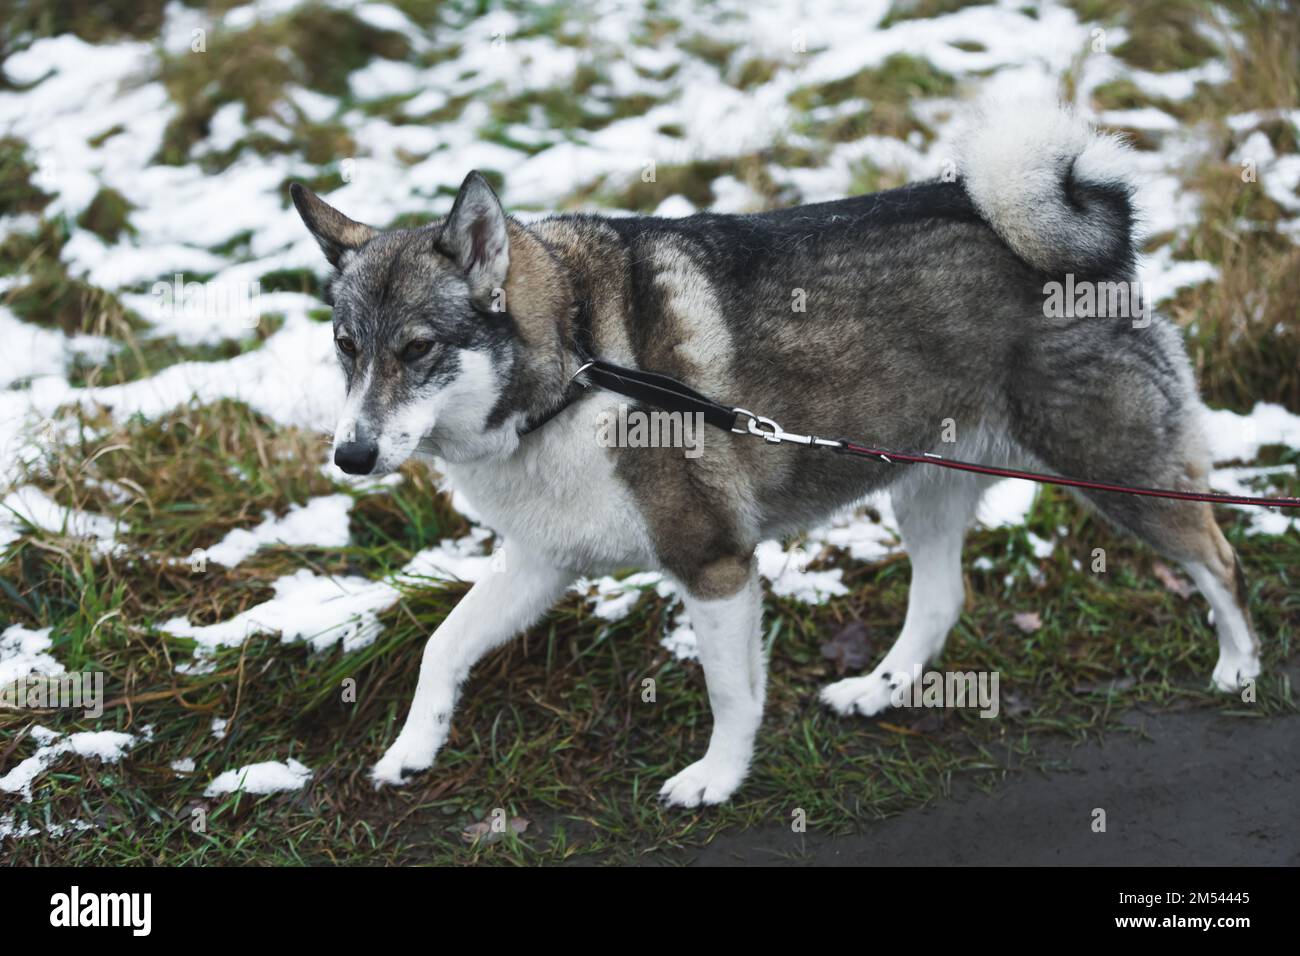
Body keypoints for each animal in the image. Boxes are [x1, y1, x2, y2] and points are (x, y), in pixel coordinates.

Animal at [292, 102, 1258, 806]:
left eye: (418, 349)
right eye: (345, 347)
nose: (350, 456)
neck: (578, 363)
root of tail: (1079, 244)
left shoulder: (713, 562)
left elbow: (730, 692)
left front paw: (716, 778)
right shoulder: (541, 561)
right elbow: (442, 645)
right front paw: (413, 747)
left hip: (1117, 471)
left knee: (1218, 557)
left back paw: (1241, 667)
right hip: (926, 486)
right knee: (942, 598)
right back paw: (880, 689)